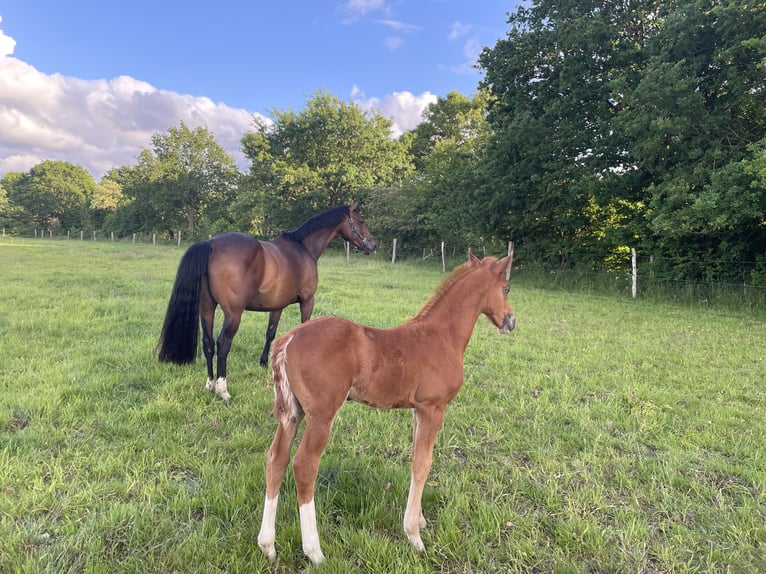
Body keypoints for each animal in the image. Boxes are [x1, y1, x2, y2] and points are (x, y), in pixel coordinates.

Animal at [157, 202, 376, 401]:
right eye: (361, 220)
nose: (373, 244)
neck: (303, 249)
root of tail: (212, 244)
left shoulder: (276, 306)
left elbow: (270, 333)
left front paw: (264, 362)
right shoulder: (307, 301)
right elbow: (303, 327)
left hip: (207, 308)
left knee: (208, 343)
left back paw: (210, 384)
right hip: (233, 313)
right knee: (223, 344)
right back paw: (222, 390)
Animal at [257, 249, 515, 564]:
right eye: (506, 288)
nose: (510, 321)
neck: (442, 336)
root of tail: (289, 338)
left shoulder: (418, 410)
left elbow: (416, 458)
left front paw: (420, 520)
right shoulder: (433, 408)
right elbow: (423, 463)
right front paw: (414, 536)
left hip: (291, 414)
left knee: (277, 459)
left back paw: (268, 545)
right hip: (322, 415)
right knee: (304, 465)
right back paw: (315, 552)